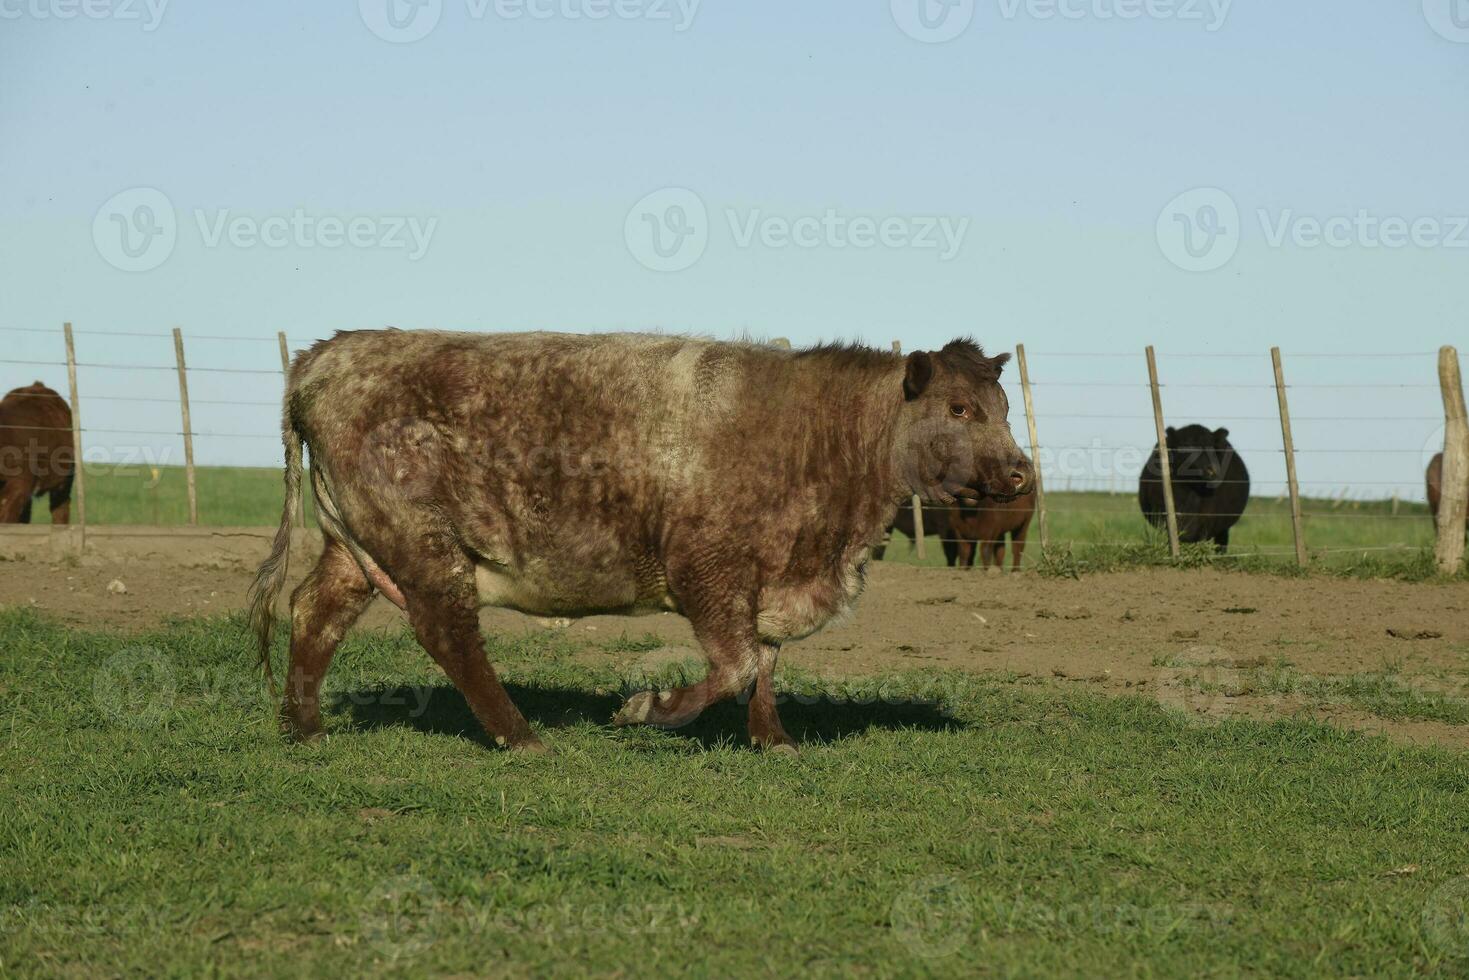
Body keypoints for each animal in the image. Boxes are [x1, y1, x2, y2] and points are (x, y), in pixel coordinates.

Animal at [249, 329, 1034, 752]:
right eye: (959, 408)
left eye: (1000, 405)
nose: (1021, 471)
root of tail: (326, 355)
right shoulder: (707, 571)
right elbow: (736, 665)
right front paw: (648, 709)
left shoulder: (771, 578)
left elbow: (766, 663)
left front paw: (773, 739)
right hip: (424, 544)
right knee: (448, 633)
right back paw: (519, 734)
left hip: (356, 548)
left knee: (315, 613)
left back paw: (303, 726)